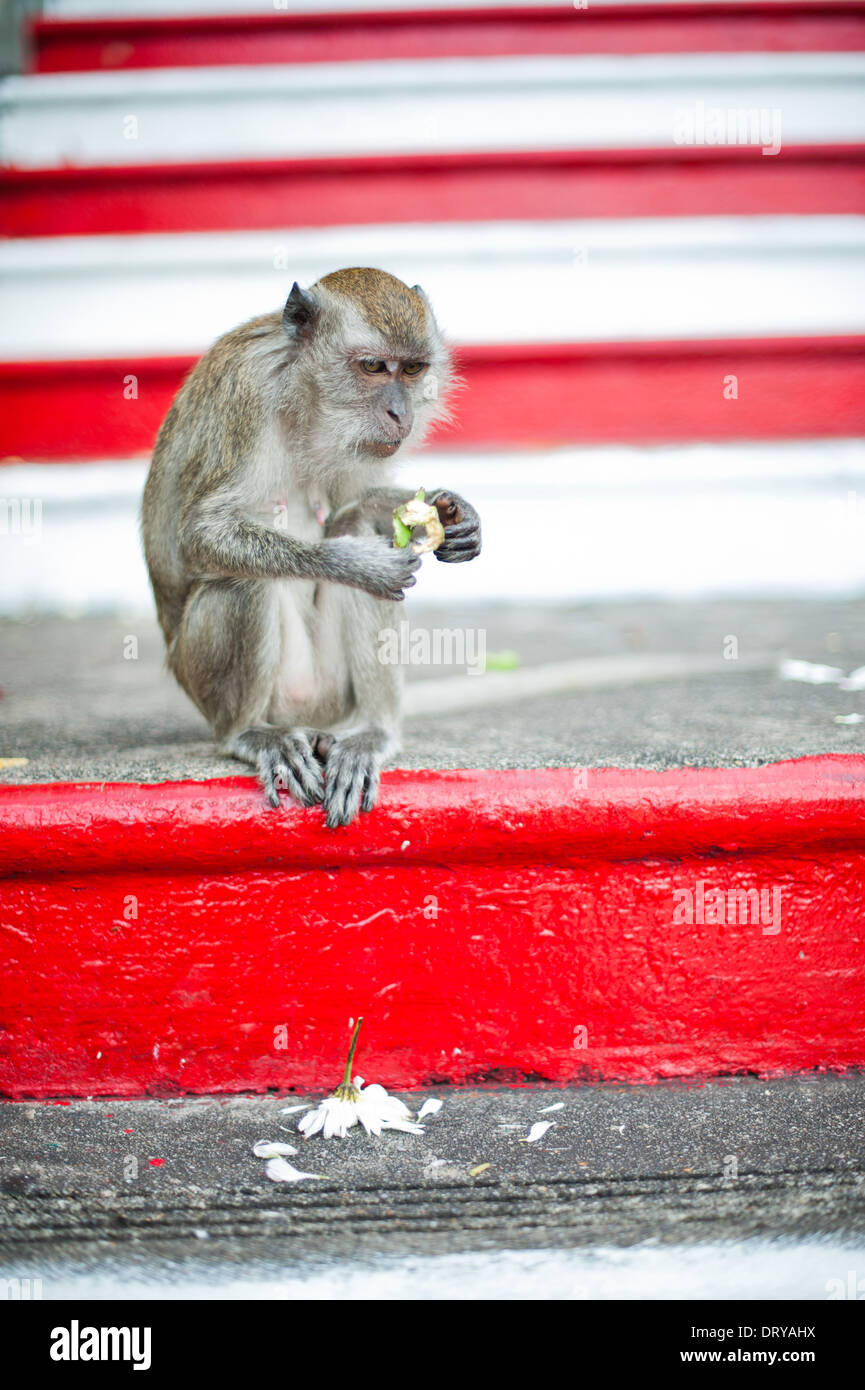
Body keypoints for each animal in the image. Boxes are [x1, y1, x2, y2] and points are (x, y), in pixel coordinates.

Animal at [142, 265, 481, 817]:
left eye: (412, 369)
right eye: (373, 367)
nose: (399, 413)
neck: (301, 394)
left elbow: (352, 504)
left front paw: (452, 513)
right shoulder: (244, 392)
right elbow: (200, 533)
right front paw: (352, 563)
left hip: (331, 697)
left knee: (352, 525)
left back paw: (372, 732)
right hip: (238, 689)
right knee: (241, 583)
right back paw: (250, 733)